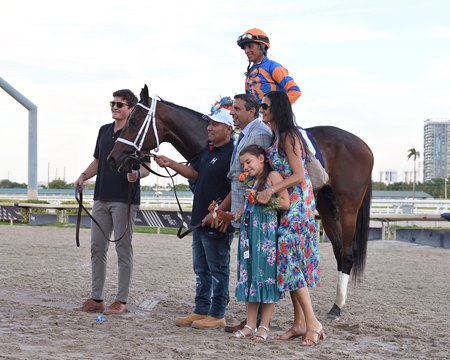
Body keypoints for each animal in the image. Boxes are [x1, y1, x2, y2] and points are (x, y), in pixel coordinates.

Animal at [108, 85, 372, 320]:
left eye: (133, 121)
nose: (113, 158)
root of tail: (364, 145)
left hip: (347, 208)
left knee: (347, 252)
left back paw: (336, 308)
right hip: (327, 207)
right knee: (338, 252)